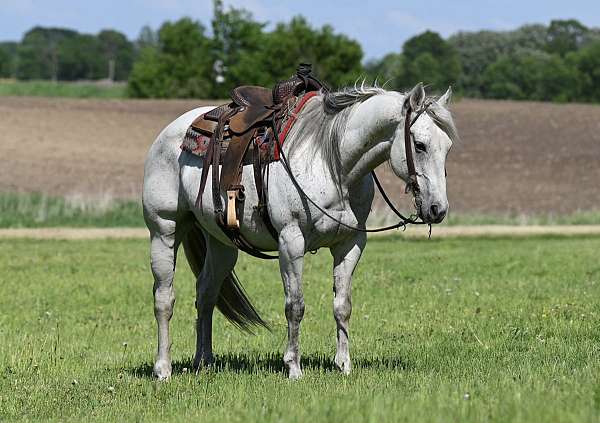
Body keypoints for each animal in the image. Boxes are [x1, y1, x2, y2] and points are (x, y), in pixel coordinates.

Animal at [142, 83, 460, 380]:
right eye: (419, 145)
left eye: (447, 147)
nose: (438, 209)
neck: (332, 164)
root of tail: (169, 133)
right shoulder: (291, 241)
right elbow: (295, 305)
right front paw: (293, 367)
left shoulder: (351, 243)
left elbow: (343, 305)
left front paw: (344, 365)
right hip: (164, 230)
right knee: (164, 299)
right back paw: (163, 368)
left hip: (221, 244)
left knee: (207, 293)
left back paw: (204, 362)